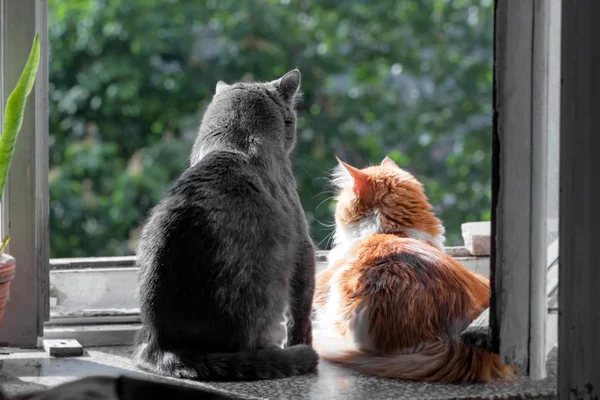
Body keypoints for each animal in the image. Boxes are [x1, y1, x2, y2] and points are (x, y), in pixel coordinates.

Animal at [132, 69, 318, 382]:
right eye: (291, 119)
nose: (294, 129)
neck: (234, 141)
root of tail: (164, 344)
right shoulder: (303, 243)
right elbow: (301, 308)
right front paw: (300, 343)